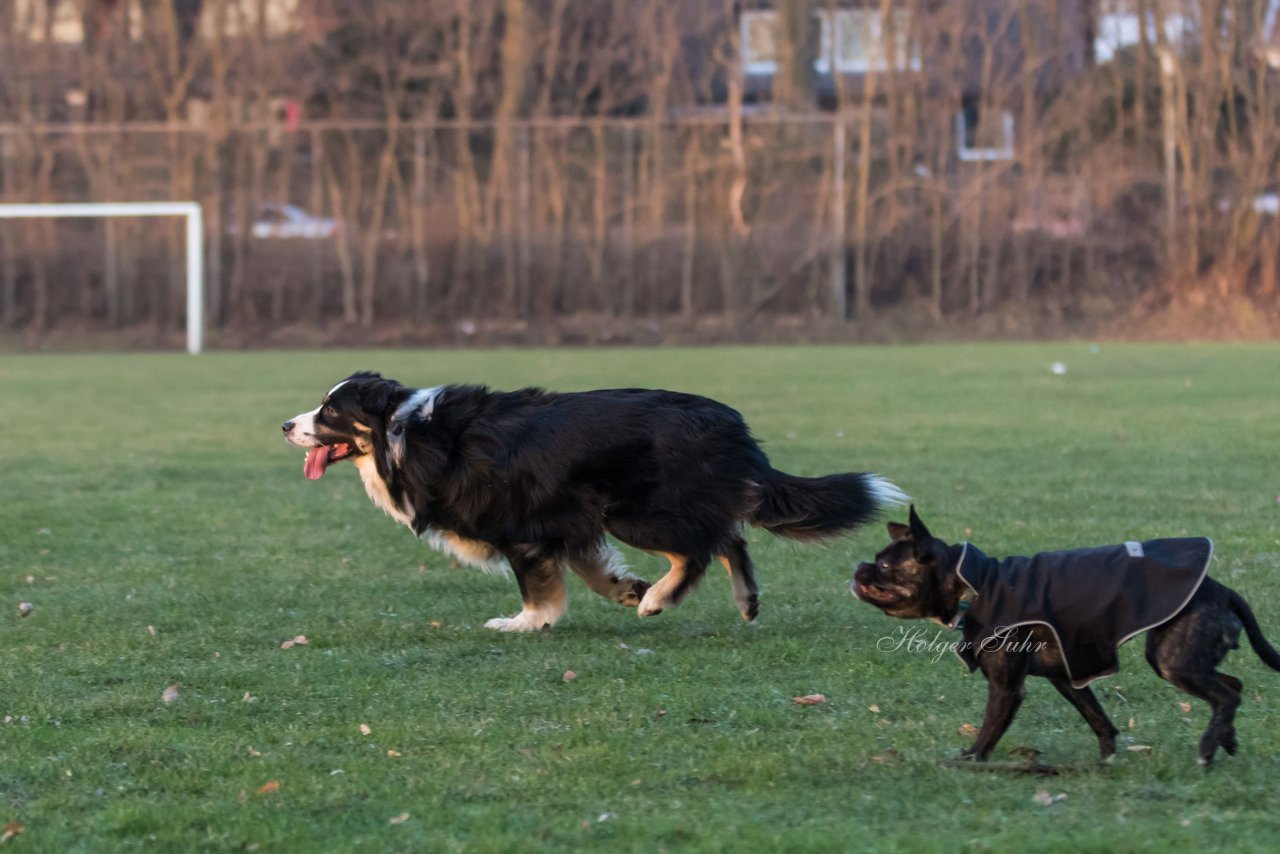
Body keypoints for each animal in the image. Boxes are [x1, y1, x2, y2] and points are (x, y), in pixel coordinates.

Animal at [282, 371, 901, 632]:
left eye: (330, 411)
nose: (286, 424)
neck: (403, 433)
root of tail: (729, 421)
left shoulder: (528, 528)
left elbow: (541, 589)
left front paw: (525, 622)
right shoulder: (566, 520)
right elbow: (591, 569)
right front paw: (624, 589)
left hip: (634, 510)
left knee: (703, 545)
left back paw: (660, 600)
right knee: (729, 536)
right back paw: (741, 600)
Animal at [855, 507, 1280, 768]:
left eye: (885, 565)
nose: (859, 566)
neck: (975, 585)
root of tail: (1223, 590)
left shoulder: (1007, 688)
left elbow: (989, 729)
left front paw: (971, 762)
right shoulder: (1067, 677)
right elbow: (1099, 720)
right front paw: (1105, 763)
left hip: (1172, 660)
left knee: (1226, 695)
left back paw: (1208, 749)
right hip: (1184, 659)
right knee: (1233, 685)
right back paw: (1226, 739)